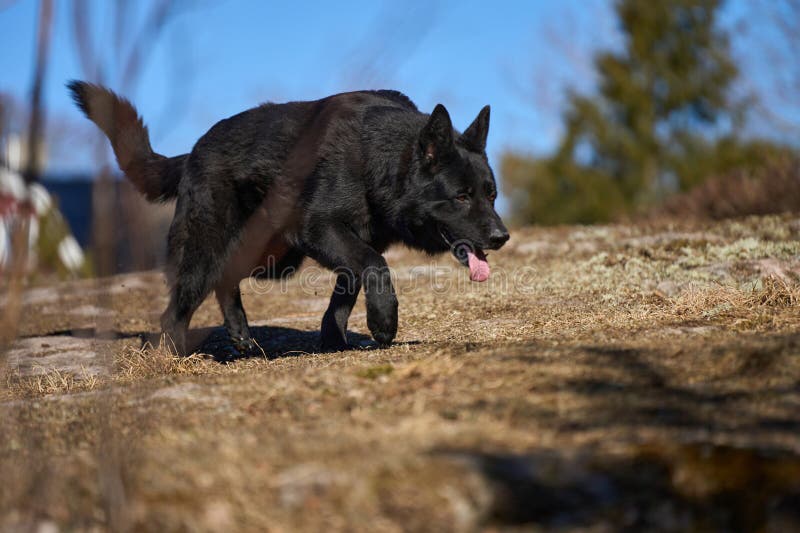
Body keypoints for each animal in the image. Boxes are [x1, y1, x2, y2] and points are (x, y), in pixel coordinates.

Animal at [67, 82, 506, 354]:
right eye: (461, 196)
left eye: (491, 194)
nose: (502, 237)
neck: (376, 158)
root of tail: (191, 152)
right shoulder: (322, 229)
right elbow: (374, 265)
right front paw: (384, 321)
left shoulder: (351, 240)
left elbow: (346, 290)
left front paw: (334, 339)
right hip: (209, 249)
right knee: (178, 307)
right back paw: (174, 353)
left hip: (270, 258)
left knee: (226, 279)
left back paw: (241, 337)